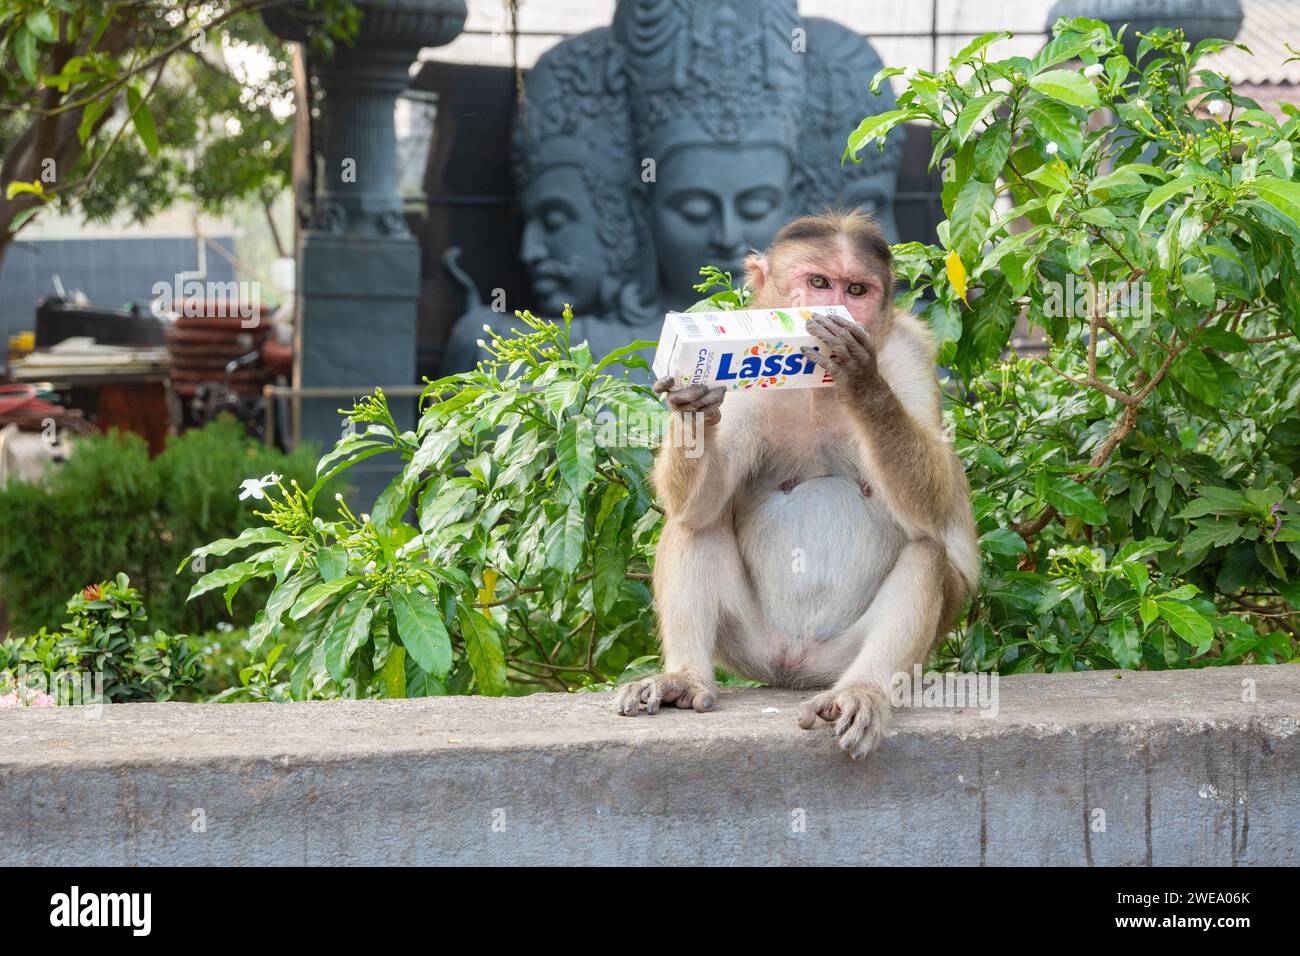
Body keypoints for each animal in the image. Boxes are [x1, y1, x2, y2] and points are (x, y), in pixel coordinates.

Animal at [614, 210, 979, 759]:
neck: (813, 389)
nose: (837, 306)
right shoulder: (744, 394)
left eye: (857, 288)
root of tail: (794, 668)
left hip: (840, 657)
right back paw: (683, 678)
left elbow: (939, 505)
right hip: (749, 645)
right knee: (693, 524)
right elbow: (702, 502)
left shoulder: (910, 356)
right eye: (819, 282)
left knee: (927, 551)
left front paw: (864, 383)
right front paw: (692, 402)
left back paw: (861, 691)